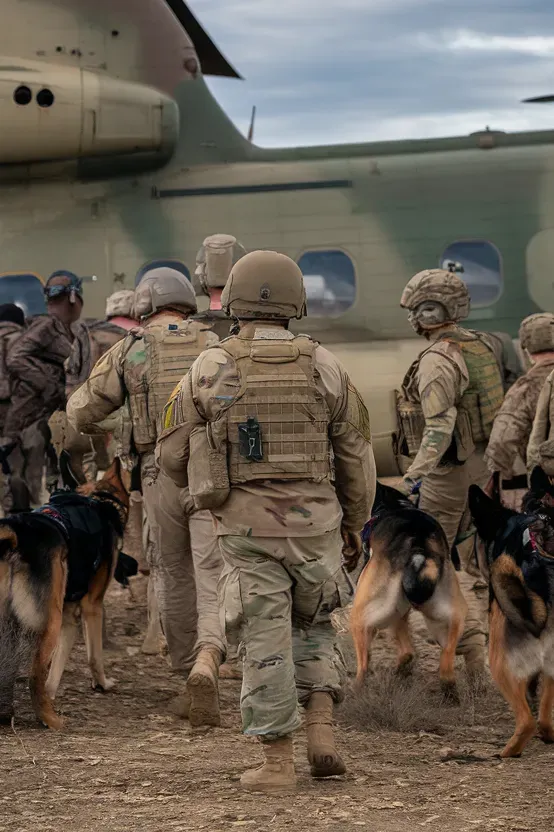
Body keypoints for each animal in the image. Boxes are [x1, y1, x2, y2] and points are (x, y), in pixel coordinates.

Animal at [0, 452, 127, 732]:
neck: (97, 499)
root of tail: (17, 533)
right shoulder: (92, 607)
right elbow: (94, 656)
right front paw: (102, 684)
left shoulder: (69, 616)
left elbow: (57, 667)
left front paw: (53, 692)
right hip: (50, 622)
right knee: (34, 677)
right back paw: (50, 719)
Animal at [350, 484, 466, 692]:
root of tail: (418, 546)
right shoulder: (401, 612)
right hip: (450, 620)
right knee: (442, 666)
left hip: (361, 616)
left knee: (364, 665)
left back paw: (355, 690)